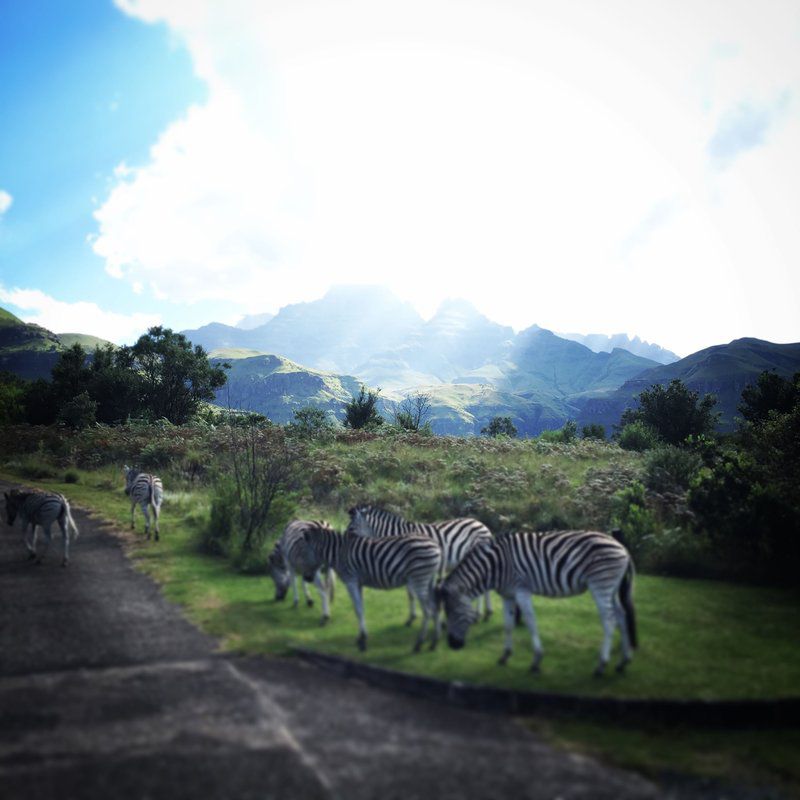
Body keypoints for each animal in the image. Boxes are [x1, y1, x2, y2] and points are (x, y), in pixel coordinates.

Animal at [300, 520, 440, 652]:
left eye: (304, 553)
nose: (307, 578)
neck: (339, 553)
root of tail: (435, 545)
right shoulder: (358, 583)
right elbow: (361, 609)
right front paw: (361, 637)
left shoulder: (351, 581)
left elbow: (358, 610)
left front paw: (362, 641)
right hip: (428, 580)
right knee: (434, 609)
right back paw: (433, 643)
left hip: (419, 579)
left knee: (427, 611)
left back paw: (419, 644)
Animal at [348, 506, 496, 624]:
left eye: (351, 527)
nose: (346, 539)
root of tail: (481, 524)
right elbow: (411, 594)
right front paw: (412, 617)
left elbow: (412, 593)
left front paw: (413, 618)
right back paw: (486, 613)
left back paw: (480, 614)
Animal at [438, 528, 636, 680]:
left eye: (452, 612)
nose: (452, 645)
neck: (494, 565)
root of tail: (623, 548)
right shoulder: (508, 595)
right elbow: (508, 625)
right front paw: (504, 656)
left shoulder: (522, 590)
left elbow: (530, 621)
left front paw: (536, 661)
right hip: (611, 588)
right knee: (621, 615)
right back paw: (623, 662)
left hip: (600, 584)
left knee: (609, 620)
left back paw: (601, 665)